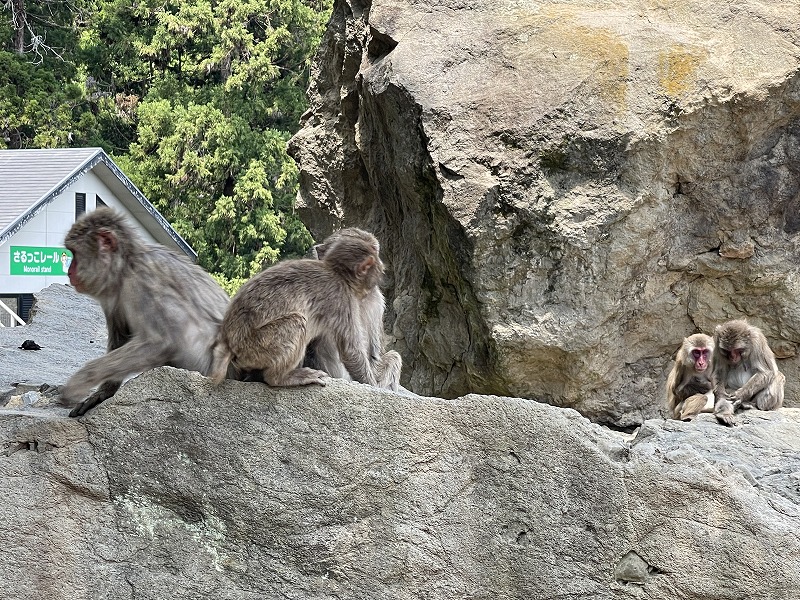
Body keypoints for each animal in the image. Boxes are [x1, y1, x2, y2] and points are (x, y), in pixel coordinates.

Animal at [61, 209, 231, 414]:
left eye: (75, 253)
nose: (69, 272)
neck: (126, 266)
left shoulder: (144, 282)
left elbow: (160, 342)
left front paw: (80, 381)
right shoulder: (112, 295)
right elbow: (121, 338)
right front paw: (102, 393)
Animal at [211, 230, 396, 390]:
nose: (381, 274)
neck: (335, 272)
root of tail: (229, 342)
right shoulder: (342, 299)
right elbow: (351, 351)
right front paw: (370, 384)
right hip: (254, 348)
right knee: (297, 323)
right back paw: (280, 378)